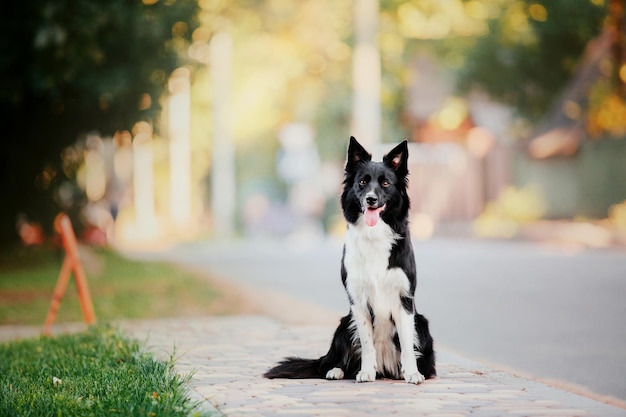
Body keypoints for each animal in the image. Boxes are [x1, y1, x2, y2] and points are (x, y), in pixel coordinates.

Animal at [264, 137, 434, 384]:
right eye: (362, 182)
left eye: (385, 183)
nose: (371, 199)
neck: (374, 236)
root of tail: (386, 370)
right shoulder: (358, 300)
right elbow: (367, 343)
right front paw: (366, 371)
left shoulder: (404, 300)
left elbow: (406, 344)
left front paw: (412, 373)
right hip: (344, 323)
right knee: (332, 362)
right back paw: (337, 370)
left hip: (421, 323)